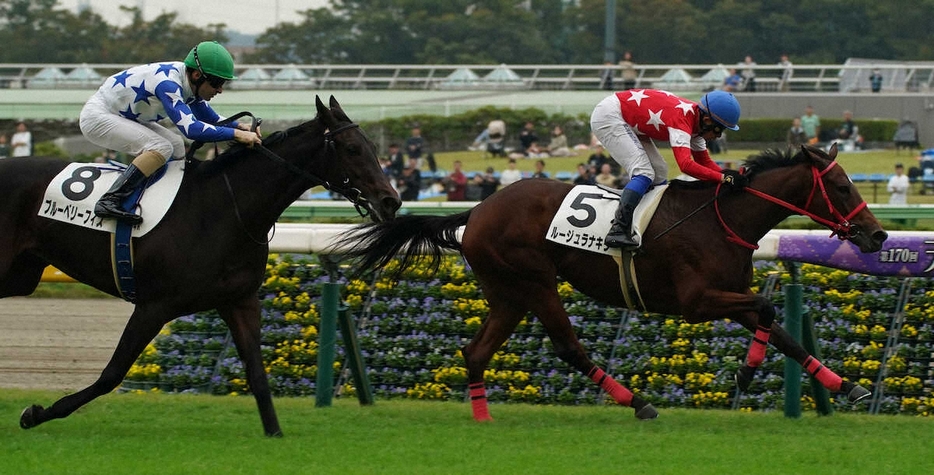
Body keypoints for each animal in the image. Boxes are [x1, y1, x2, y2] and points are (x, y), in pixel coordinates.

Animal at [0, 96, 402, 436]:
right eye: (352, 148)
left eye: (374, 147)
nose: (391, 201)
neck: (223, 209)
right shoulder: (154, 306)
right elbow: (111, 374)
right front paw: (36, 413)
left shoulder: (240, 301)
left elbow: (257, 374)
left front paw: (275, 434)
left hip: (21, 275)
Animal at [344, 144, 892, 420]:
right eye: (841, 186)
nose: (878, 234)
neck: (721, 218)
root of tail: (477, 209)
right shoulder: (697, 301)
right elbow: (768, 308)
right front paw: (746, 373)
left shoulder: (726, 294)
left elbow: (778, 328)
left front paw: (847, 386)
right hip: (536, 283)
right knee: (568, 346)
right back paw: (639, 403)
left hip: (508, 293)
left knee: (475, 351)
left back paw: (483, 418)